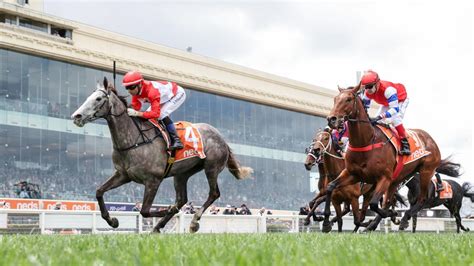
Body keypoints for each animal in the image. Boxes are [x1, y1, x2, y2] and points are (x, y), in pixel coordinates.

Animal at [70, 77, 252, 233]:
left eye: (98, 99)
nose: (76, 116)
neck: (134, 140)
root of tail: (221, 137)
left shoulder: (153, 180)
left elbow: (144, 211)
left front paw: (166, 210)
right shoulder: (123, 175)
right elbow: (99, 191)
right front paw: (112, 220)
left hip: (211, 167)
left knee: (213, 193)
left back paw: (193, 222)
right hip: (182, 173)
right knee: (181, 199)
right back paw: (159, 226)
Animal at [324, 84, 446, 232]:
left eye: (348, 99)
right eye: (335, 99)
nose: (332, 119)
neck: (367, 141)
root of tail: (430, 138)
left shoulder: (384, 178)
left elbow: (374, 204)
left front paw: (393, 215)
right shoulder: (353, 174)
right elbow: (330, 187)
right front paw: (326, 222)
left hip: (426, 172)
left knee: (421, 199)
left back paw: (403, 219)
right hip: (397, 178)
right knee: (389, 201)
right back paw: (373, 225)